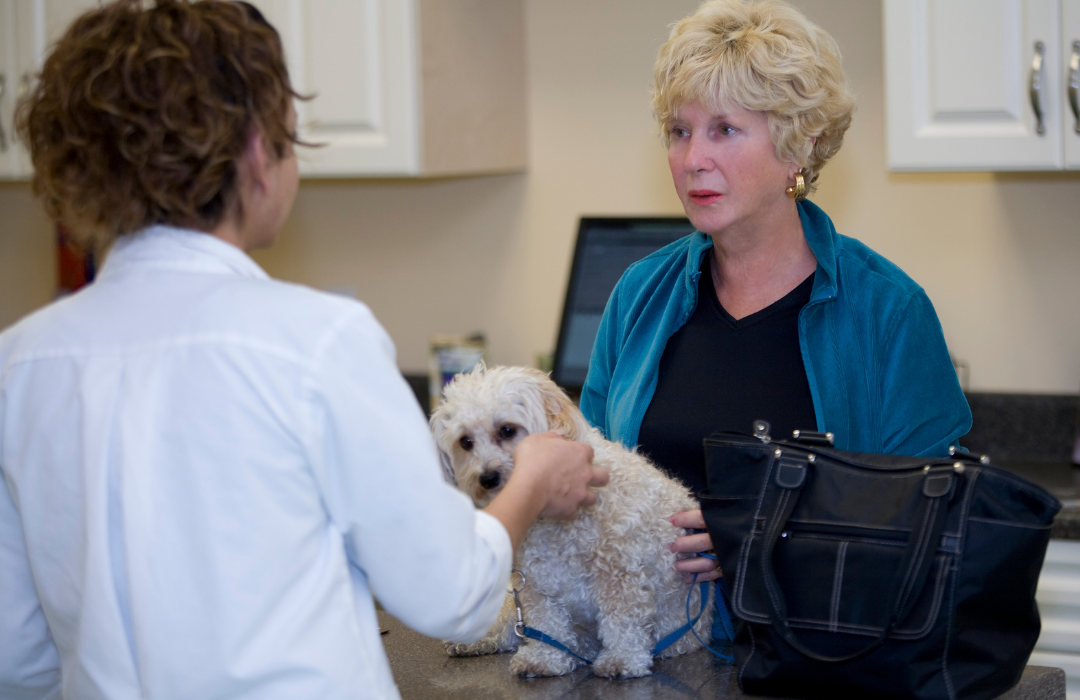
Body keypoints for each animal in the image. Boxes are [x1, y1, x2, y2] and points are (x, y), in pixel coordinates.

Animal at [429, 367, 708, 678]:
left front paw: (622, 658)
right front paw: (545, 658)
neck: (551, 520)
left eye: (507, 430)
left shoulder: (620, 573)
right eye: (465, 442)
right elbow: (546, 624)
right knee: (510, 630)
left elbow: (622, 620)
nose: (487, 478)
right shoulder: (535, 583)